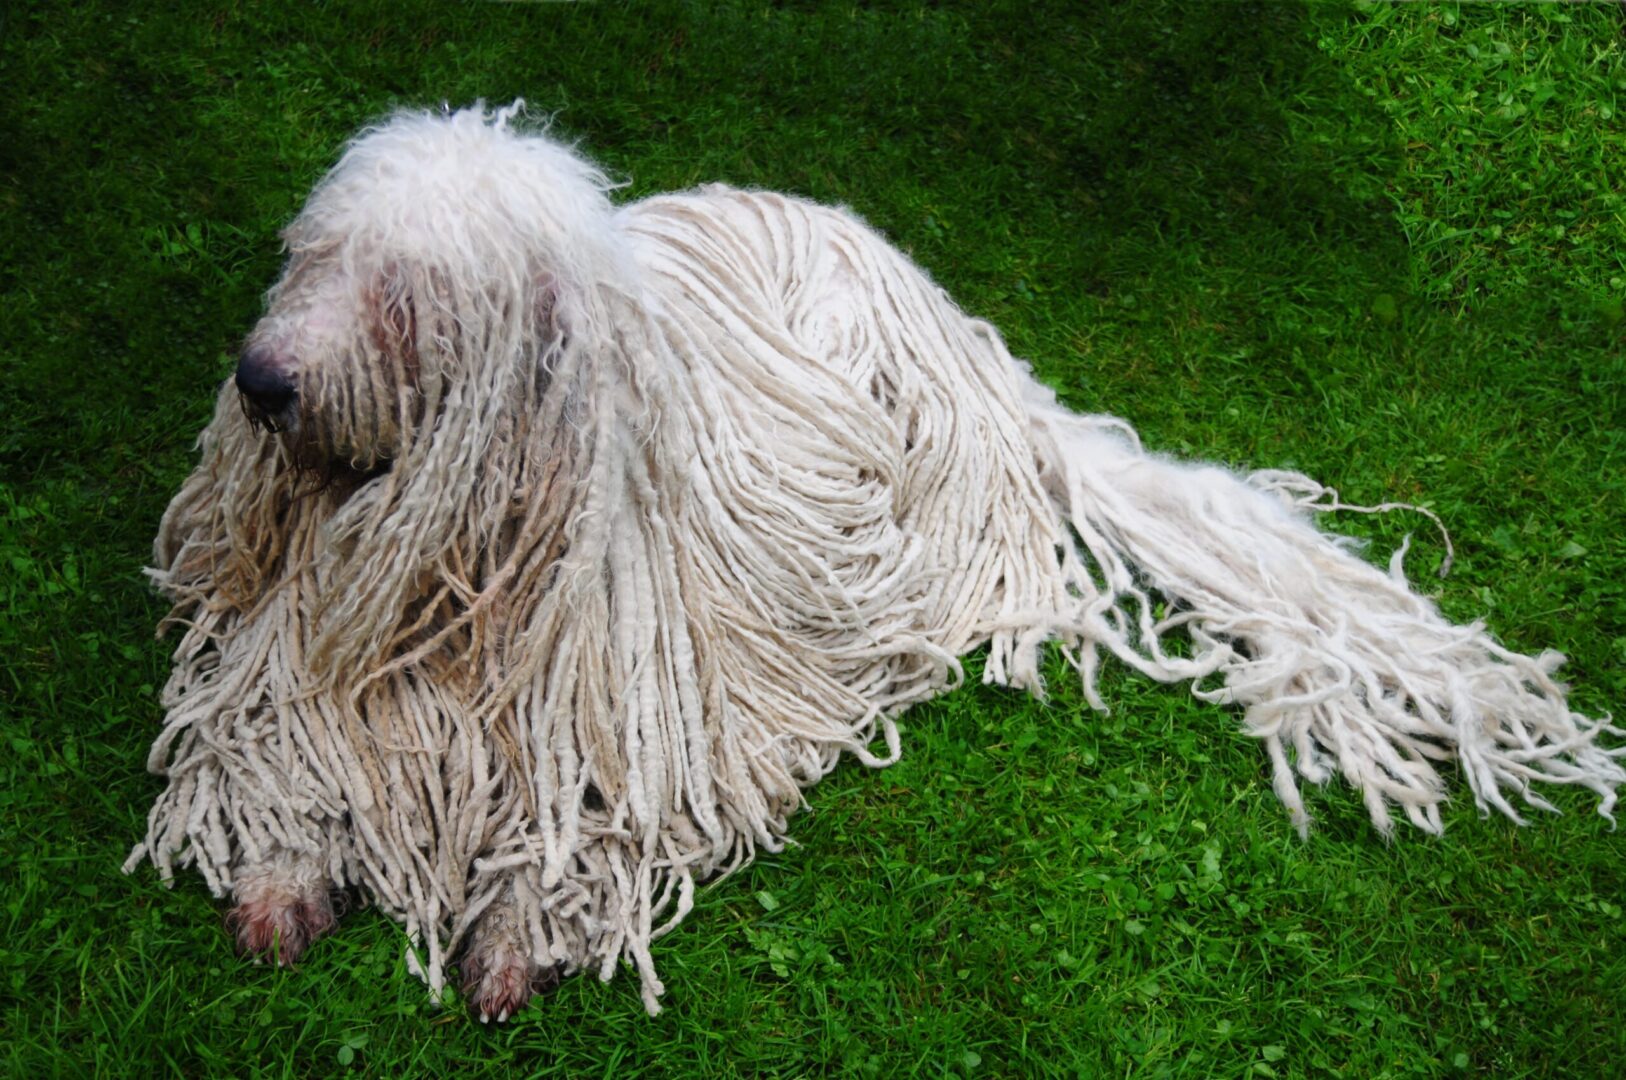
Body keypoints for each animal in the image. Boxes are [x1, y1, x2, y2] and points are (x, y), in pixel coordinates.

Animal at [123, 103, 1612, 1021]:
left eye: (405, 296)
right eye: (314, 256)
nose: (262, 380)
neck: (461, 567)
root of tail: (975, 351)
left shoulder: (653, 719)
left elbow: (604, 822)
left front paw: (519, 930)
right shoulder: (302, 644)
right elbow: (275, 737)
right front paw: (281, 872)